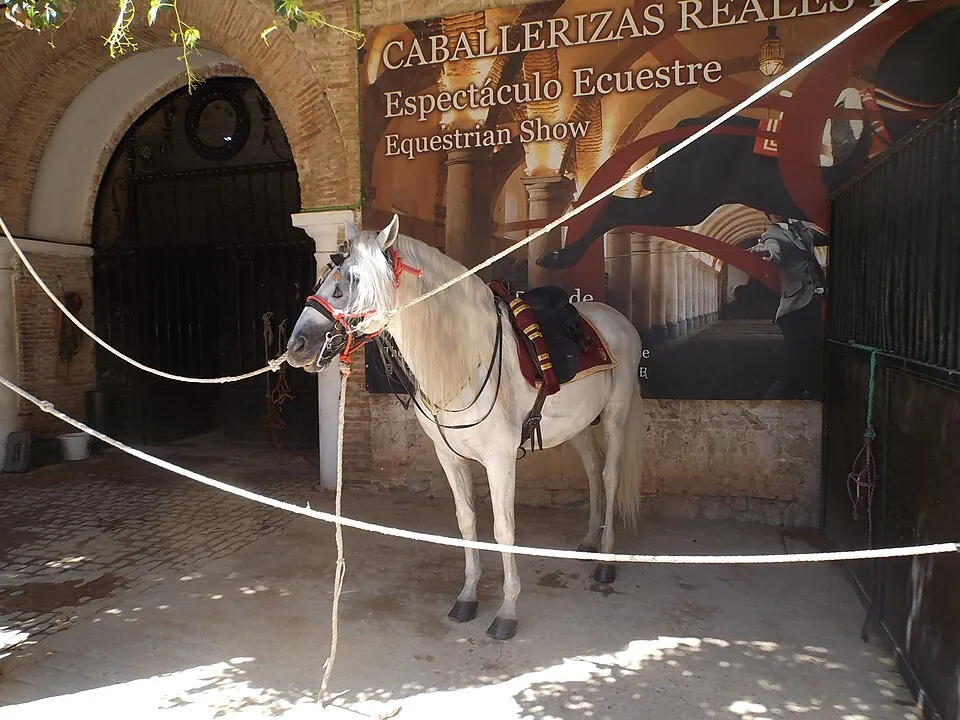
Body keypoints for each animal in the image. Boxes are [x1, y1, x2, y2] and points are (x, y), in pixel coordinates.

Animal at [285, 214, 645, 640]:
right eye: (326, 276)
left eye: (352, 280)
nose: (298, 345)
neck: (466, 358)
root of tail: (618, 320)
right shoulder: (450, 458)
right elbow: (467, 521)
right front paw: (468, 596)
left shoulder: (500, 460)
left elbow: (504, 530)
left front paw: (507, 611)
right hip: (580, 426)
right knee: (591, 471)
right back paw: (589, 540)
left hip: (615, 417)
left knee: (608, 477)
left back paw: (606, 558)